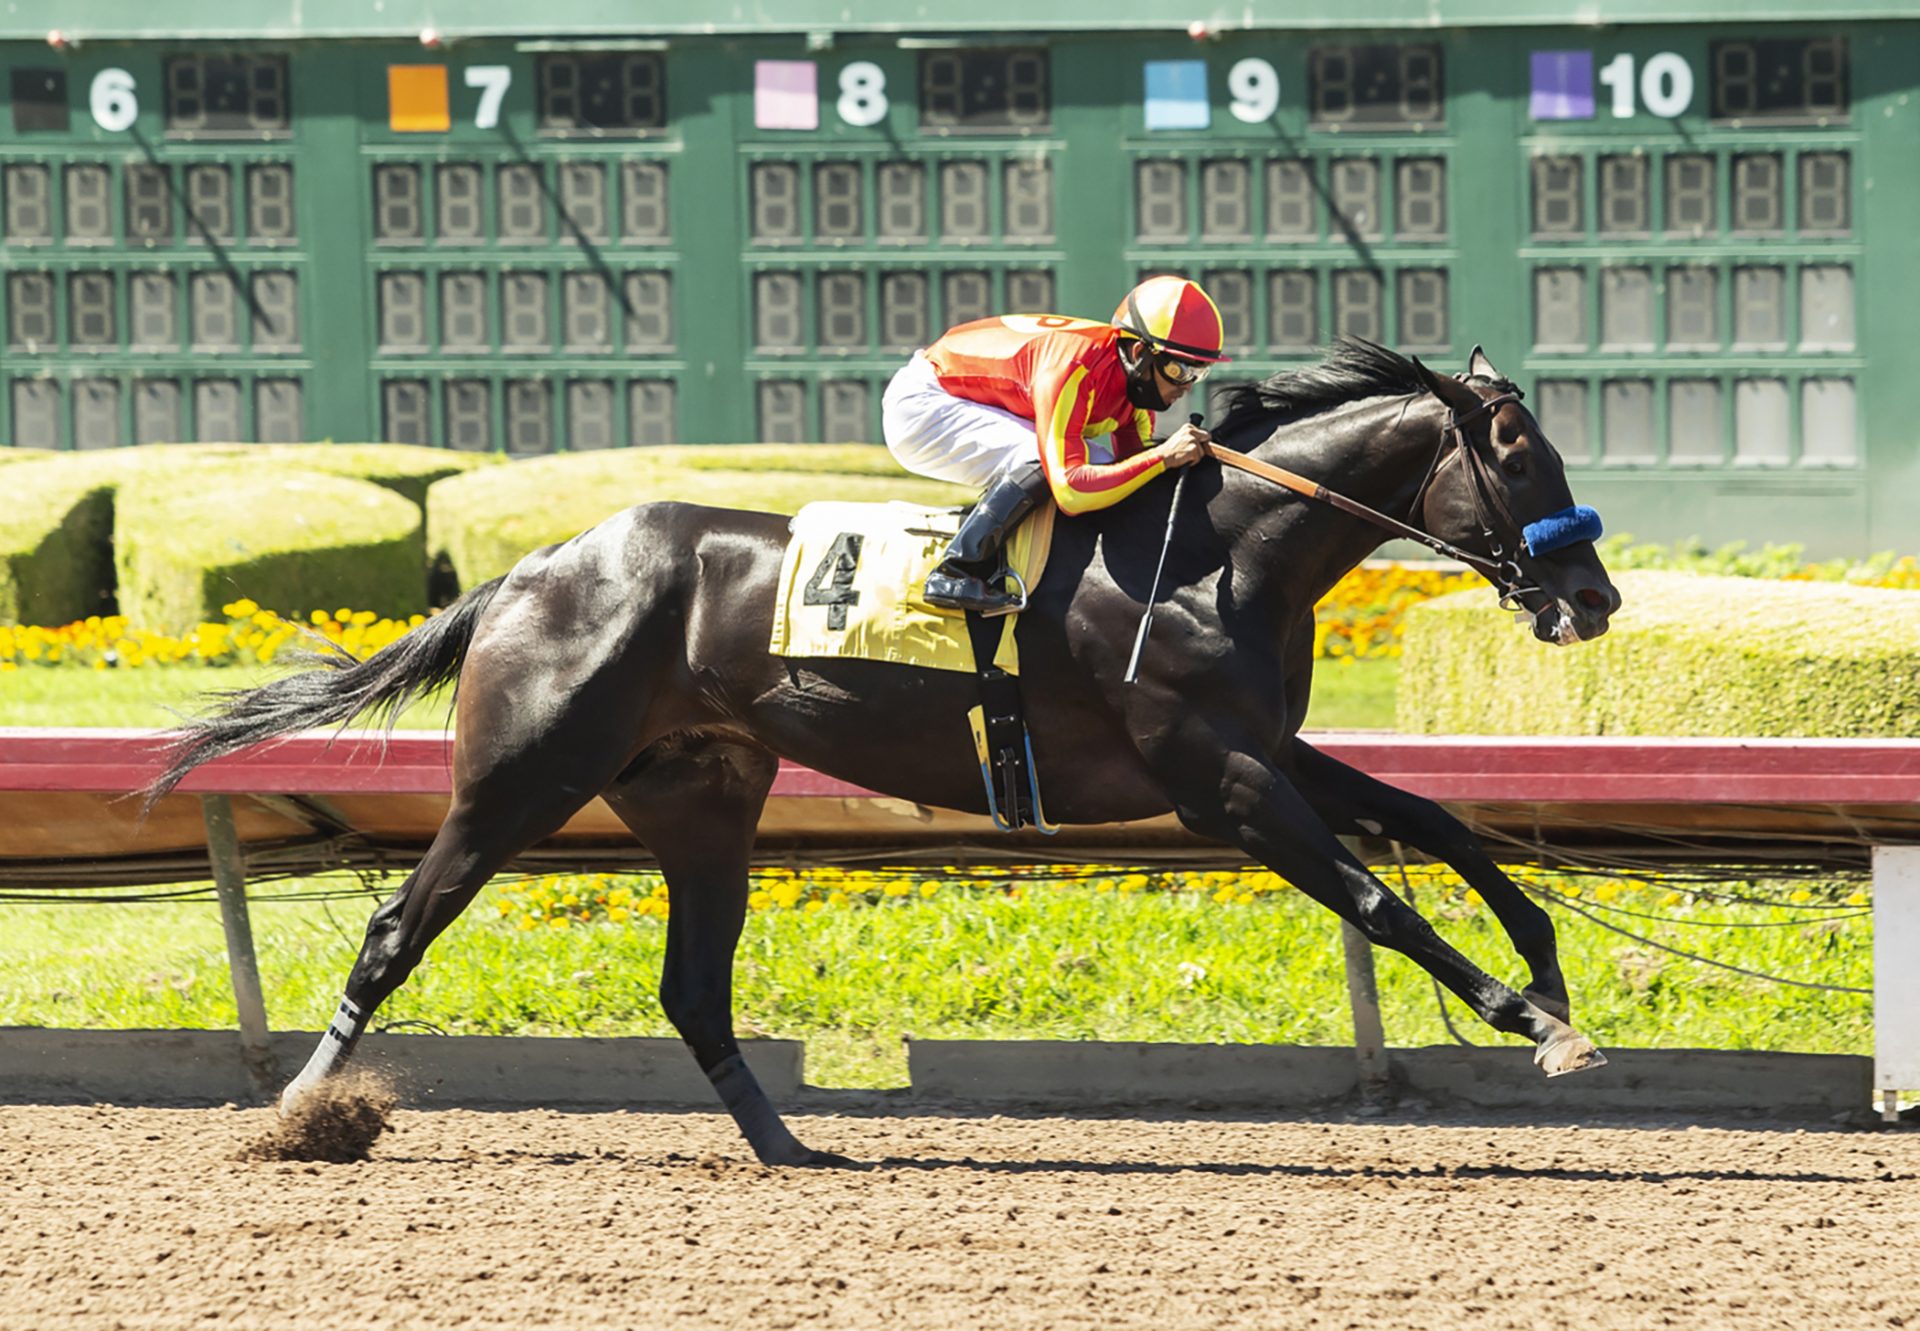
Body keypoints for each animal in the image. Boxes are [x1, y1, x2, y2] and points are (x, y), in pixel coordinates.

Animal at [149, 338, 1620, 1160]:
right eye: (1518, 456)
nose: (1593, 596)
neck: (1216, 550)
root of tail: (526, 568)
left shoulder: (1266, 747)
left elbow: (1442, 825)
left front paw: (1551, 972)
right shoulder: (1220, 781)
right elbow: (1377, 894)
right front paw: (1533, 1021)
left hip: (700, 798)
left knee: (693, 987)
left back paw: (794, 1145)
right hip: (523, 777)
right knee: (395, 930)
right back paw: (300, 1111)